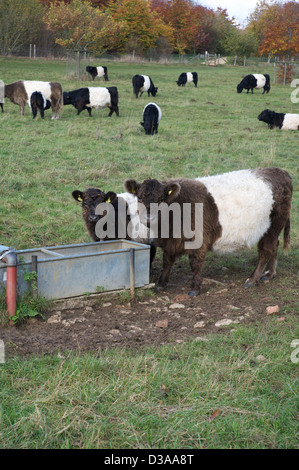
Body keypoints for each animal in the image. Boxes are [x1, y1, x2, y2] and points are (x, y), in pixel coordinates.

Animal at [125, 167, 294, 296]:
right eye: (139, 198)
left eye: (161, 200)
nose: (148, 218)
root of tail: (280, 171)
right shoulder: (170, 243)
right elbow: (167, 261)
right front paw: (161, 284)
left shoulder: (198, 241)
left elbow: (195, 264)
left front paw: (194, 288)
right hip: (269, 230)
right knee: (274, 247)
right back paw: (269, 274)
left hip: (274, 225)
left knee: (266, 251)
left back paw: (252, 279)